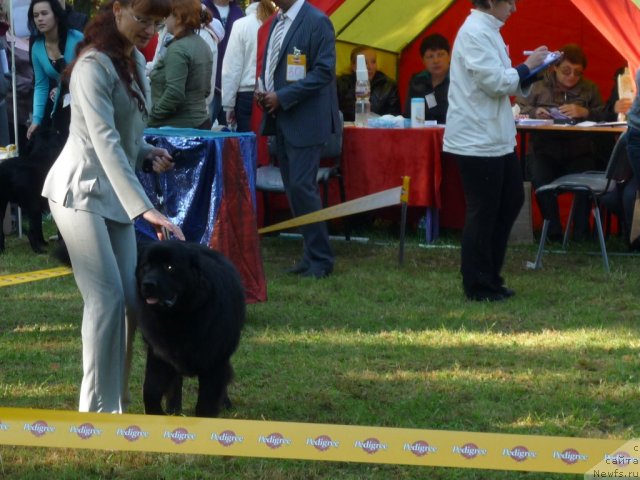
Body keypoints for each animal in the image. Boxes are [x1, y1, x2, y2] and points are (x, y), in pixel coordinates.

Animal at [135, 242, 245, 418]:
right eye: (146, 266)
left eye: (169, 267)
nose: (148, 284)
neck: (178, 318)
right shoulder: (158, 354)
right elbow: (151, 390)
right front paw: (157, 413)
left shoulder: (214, 362)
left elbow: (206, 404)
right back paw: (173, 407)